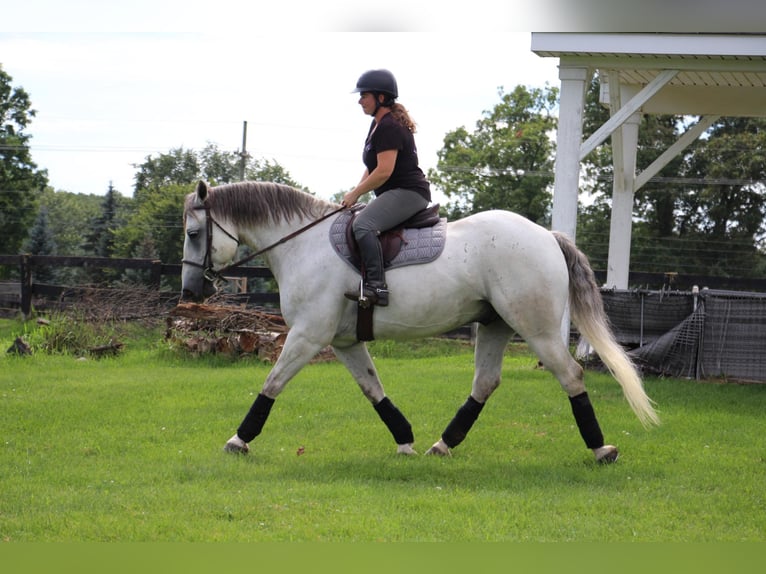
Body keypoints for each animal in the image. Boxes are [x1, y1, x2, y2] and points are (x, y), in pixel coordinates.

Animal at [182, 182, 660, 466]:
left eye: (192, 234)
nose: (190, 292)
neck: (304, 243)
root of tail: (547, 235)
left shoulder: (307, 335)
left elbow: (272, 384)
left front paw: (239, 440)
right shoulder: (344, 342)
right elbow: (373, 389)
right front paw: (405, 438)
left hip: (537, 329)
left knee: (572, 375)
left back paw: (601, 448)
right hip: (495, 325)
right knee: (485, 383)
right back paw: (442, 443)